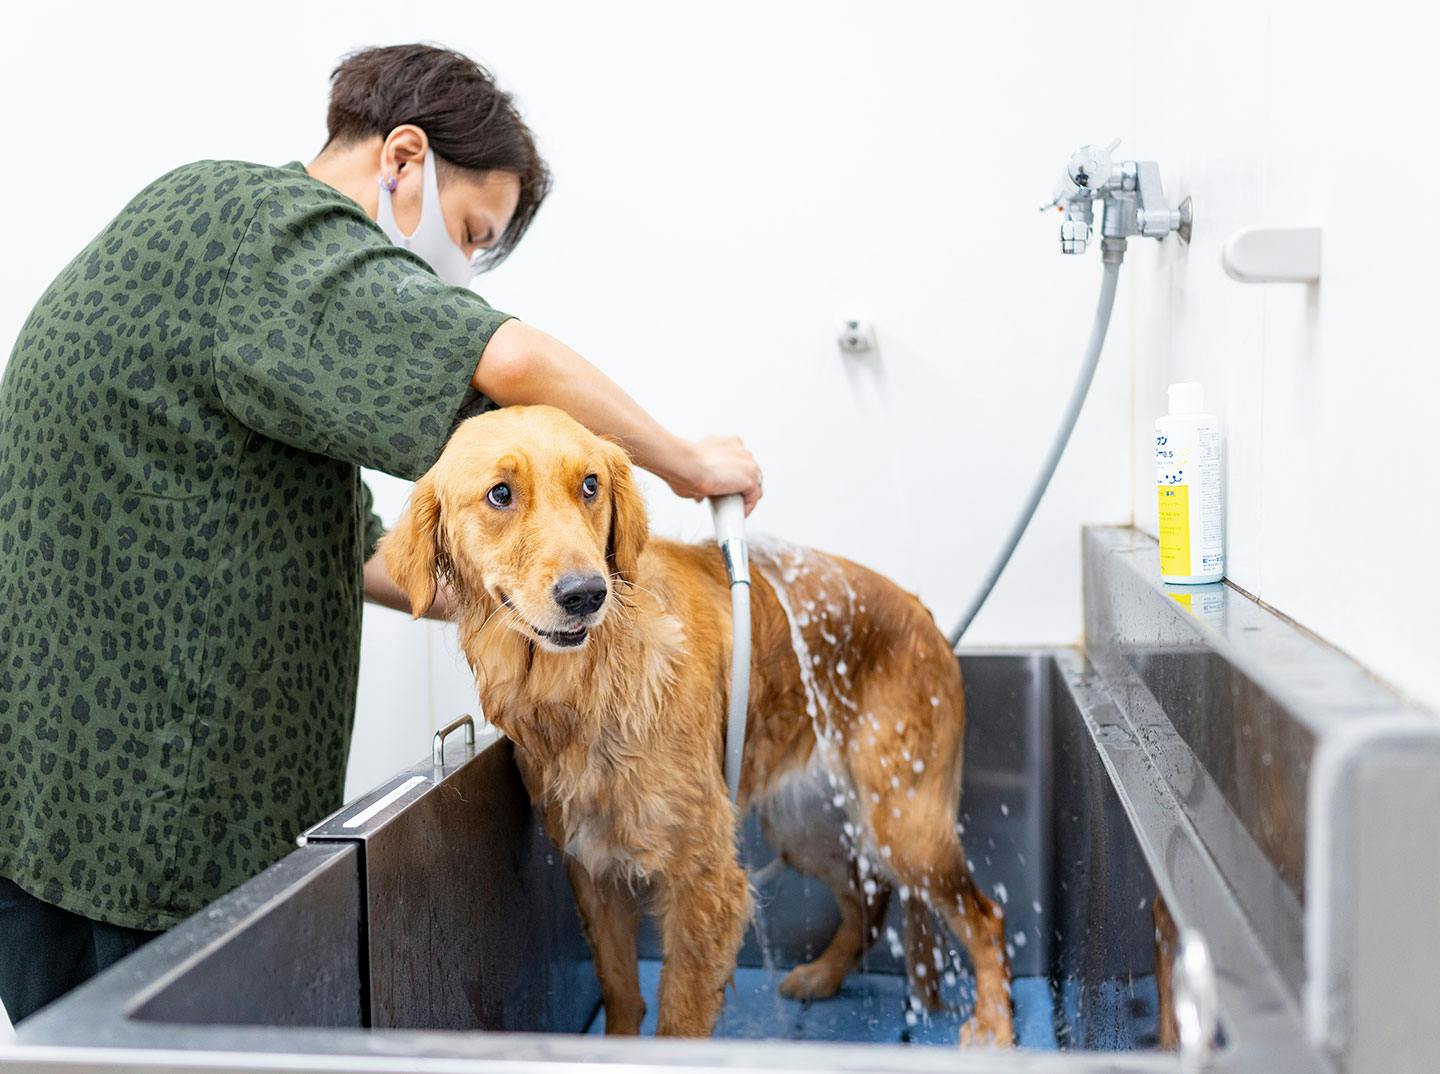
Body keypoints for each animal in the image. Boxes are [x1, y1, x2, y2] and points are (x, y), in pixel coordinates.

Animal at [383, 405, 1013, 1042]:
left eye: (590, 486)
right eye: (500, 495)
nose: (587, 594)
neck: (589, 686)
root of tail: (920, 609)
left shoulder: (705, 879)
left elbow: (680, 1017)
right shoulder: (594, 870)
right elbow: (621, 993)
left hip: (903, 821)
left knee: (986, 917)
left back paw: (993, 1025)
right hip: (806, 824)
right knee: (871, 898)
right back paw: (824, 975)